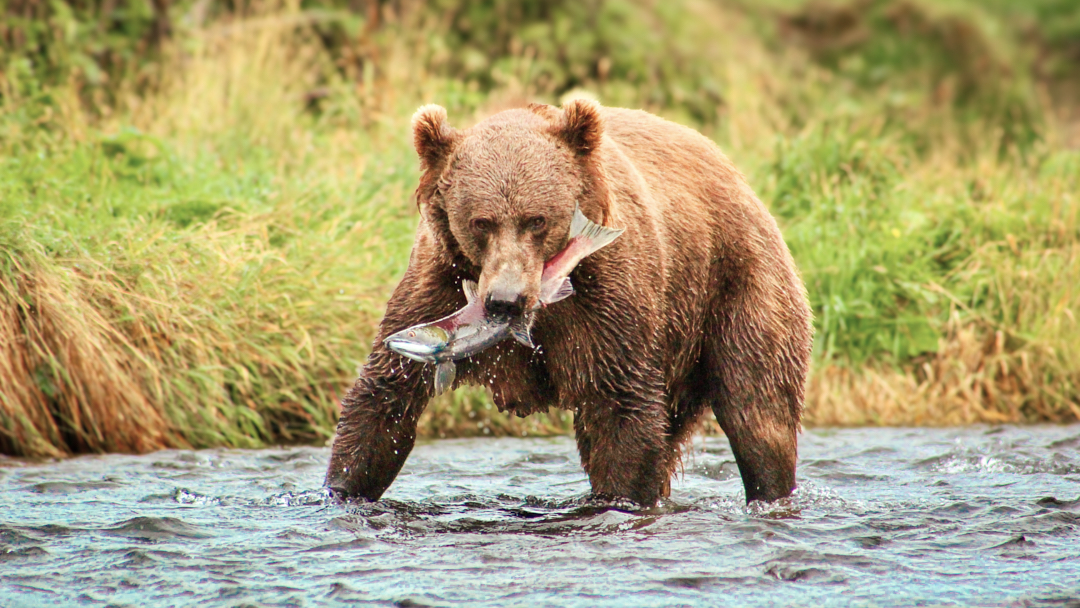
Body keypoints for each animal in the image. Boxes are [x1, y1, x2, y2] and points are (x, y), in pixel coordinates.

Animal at [325, 99, 813, 507]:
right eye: (481, 221)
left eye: (536, 219)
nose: (505, 302)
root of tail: (734, 172)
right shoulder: (438, 283)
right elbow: (385, 396)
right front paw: (342, 490)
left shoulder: (607, 302)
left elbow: (622, 410)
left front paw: (618, 500)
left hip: (737, 282)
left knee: (758, 410)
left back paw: (770, 490)